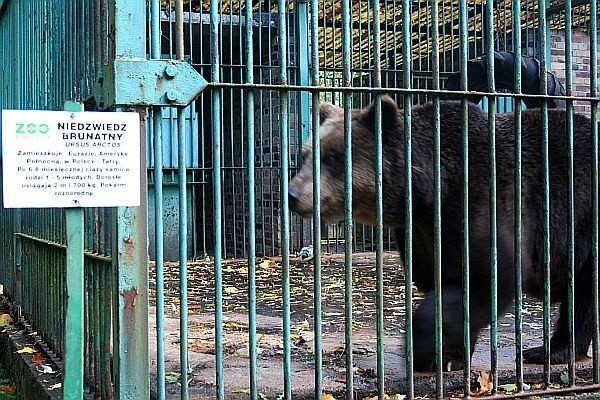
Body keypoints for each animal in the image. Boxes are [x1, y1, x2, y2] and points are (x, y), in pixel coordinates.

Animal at [288, 96, 596, 372]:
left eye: (331, 157)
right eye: (305, 156)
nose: (292, 195)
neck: (428, 195)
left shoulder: (486, 203)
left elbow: (487, 279)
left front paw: (422, 351)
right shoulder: (421, 234)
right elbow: (441, 282)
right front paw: (450, 357)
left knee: (583, 295)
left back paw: (550, 350)